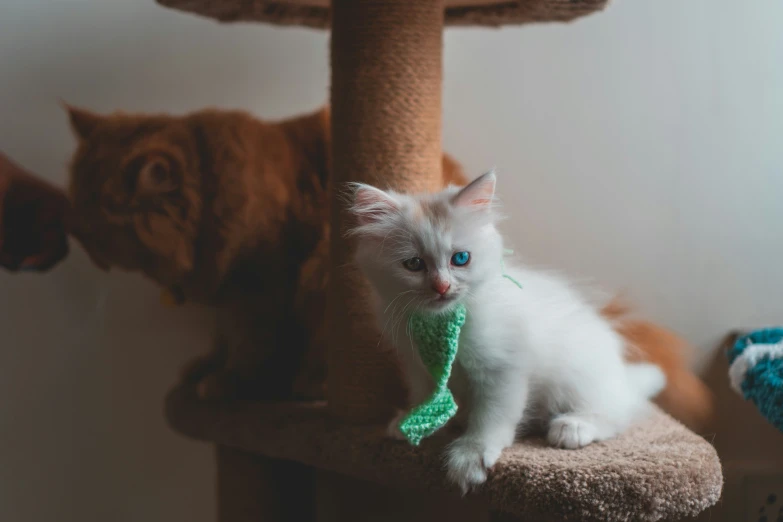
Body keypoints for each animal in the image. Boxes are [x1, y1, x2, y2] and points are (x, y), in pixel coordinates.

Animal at [348, 171, 660, 492]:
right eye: (414, 264)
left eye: (460, 259)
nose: (442, 287)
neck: (441, 322)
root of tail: (622, 377)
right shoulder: (417, 364)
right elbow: (424, 395)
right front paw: (411, 422)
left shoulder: (501, 368)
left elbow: (491, 418)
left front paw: (470, 458)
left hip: (578, 377)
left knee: (619, 413)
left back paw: (572, 426)